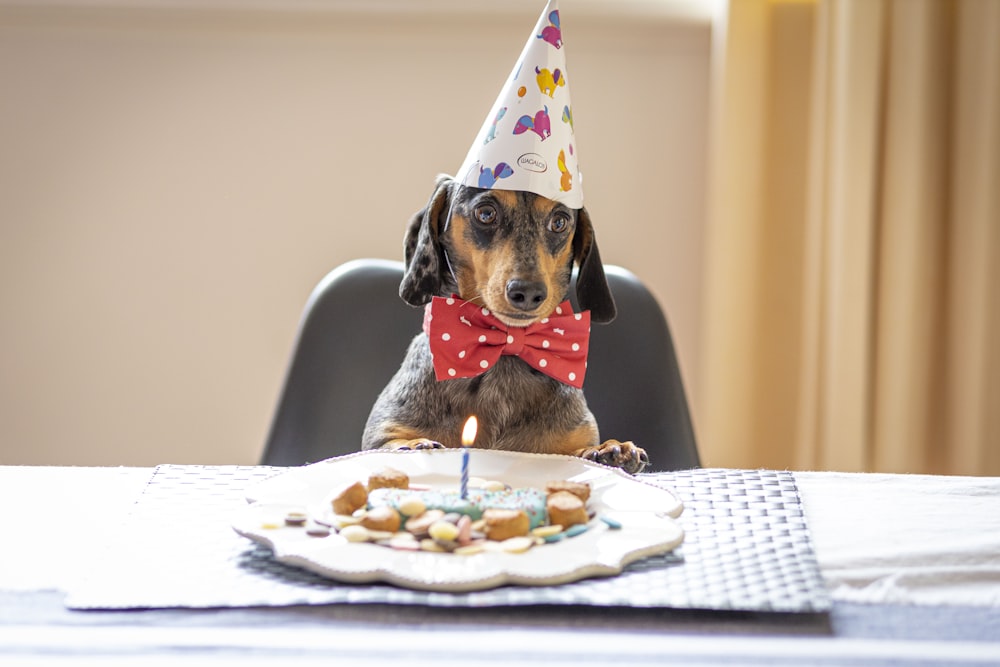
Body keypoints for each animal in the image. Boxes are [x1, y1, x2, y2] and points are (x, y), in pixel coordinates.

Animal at [364, 174, 652, 474]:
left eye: (559, 222)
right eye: (486, 213)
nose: (528, 292)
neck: (503, 350)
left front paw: (610, 449)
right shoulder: (385, 433)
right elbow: (390, 444)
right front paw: (414, 444)